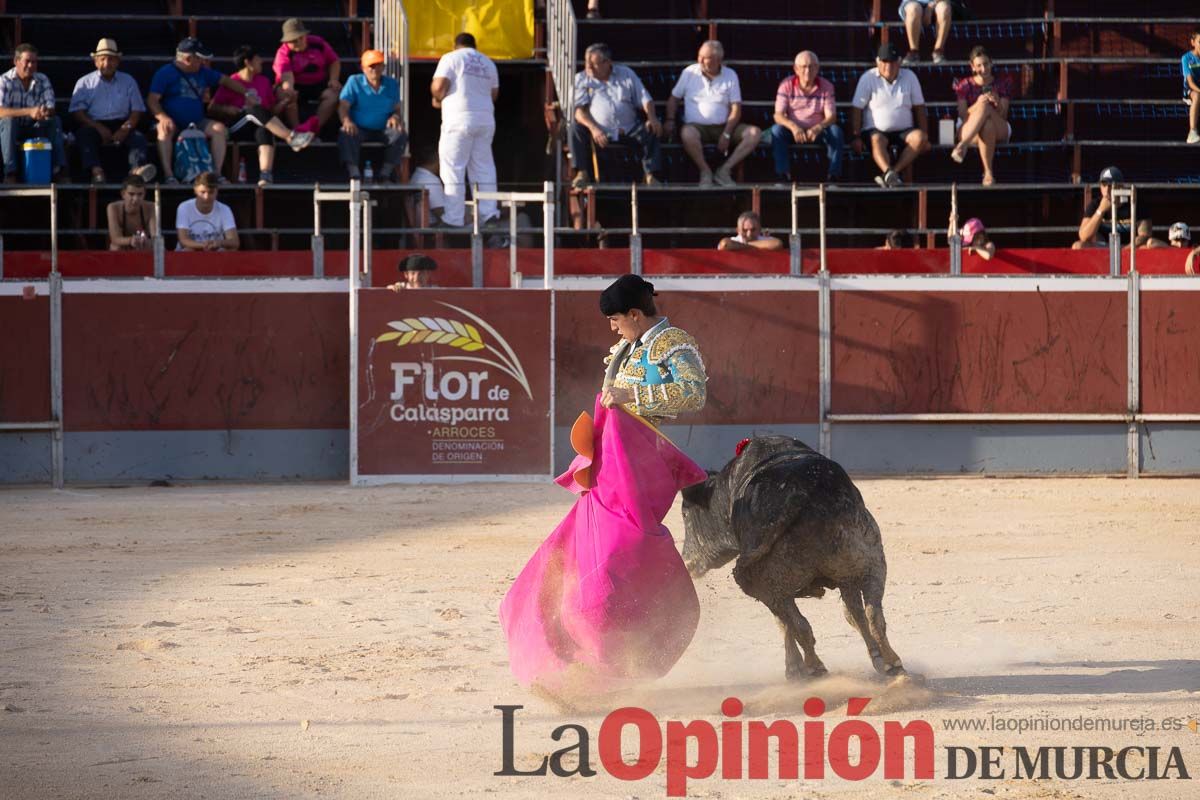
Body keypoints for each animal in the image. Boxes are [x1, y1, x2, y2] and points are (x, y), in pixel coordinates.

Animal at [681, 438, 902, 681]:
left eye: (684, 514)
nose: (686, 559)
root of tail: (803, 492)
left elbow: (785, 623)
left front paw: (794, 668)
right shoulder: (847, 580)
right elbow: (854, 614)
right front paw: (876, 657)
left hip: (768, 581)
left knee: (799, 624)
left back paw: (815, 666)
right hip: (872, 561)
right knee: (874, 614)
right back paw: (892, 662)